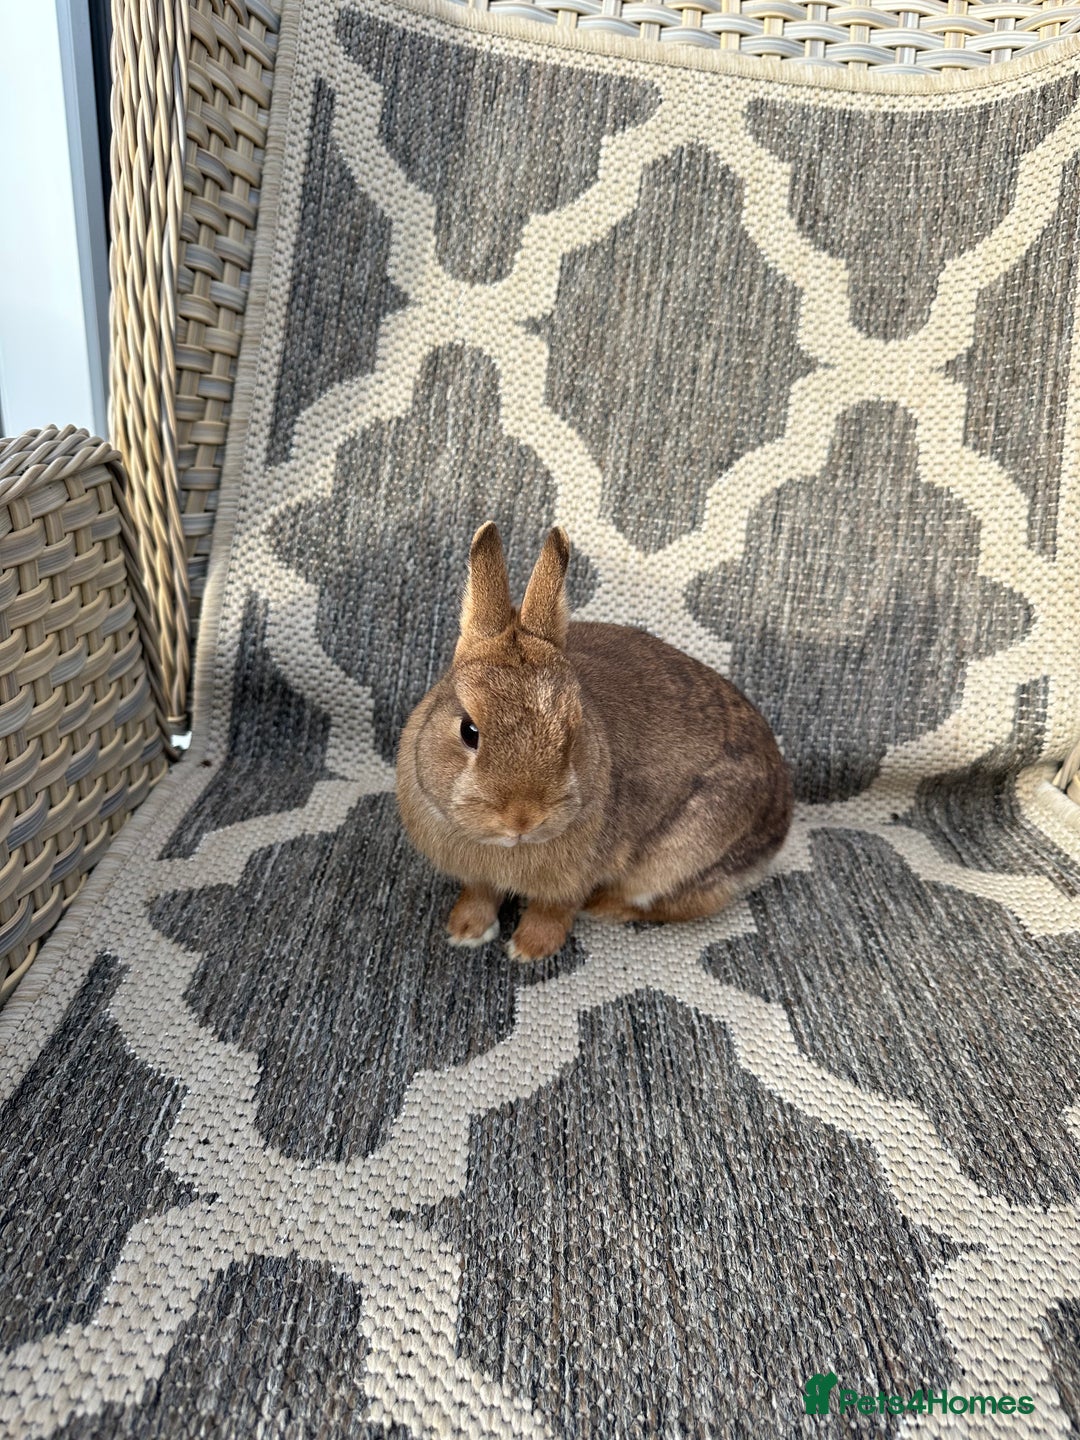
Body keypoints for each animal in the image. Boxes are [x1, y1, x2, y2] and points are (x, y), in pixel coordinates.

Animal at [396, 523, 792, 962]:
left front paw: (529, 949)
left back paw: (601, 907)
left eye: (573, 731)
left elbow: (554, 909)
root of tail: (780, 822)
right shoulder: (477, 876)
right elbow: (479, 893)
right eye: (469, 730)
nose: (523, 818)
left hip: (685, 852)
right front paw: (465, 931)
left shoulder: (580, 874)